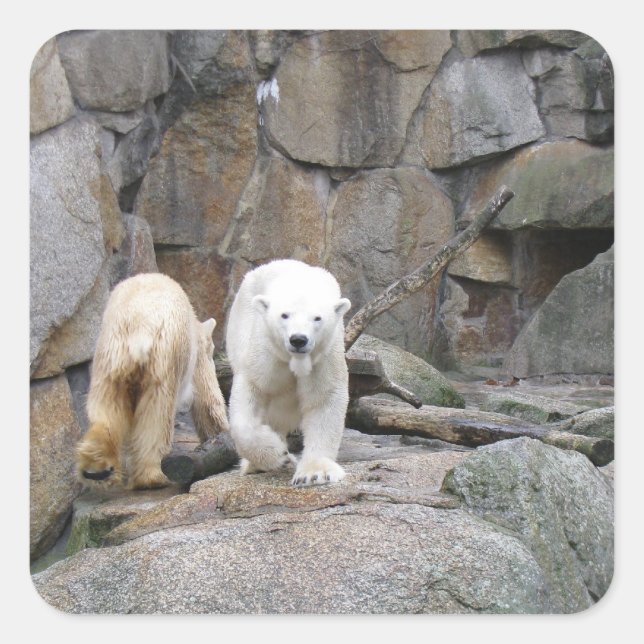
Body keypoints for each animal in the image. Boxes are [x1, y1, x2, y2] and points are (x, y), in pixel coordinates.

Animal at [75, 273, 229, 490]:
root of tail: (139, 327)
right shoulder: (194, 355)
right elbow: (207, 399)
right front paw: (222, 434)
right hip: (163, 358)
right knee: (157, 413)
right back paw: (153, 477)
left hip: (109, 358)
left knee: (107, 408)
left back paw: (96, 468)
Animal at [225, 259, 351, 486]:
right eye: (284, 315)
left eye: (317, 318)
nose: (298, 339)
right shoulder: (266, 351)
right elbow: (252, 389)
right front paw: (278, 455)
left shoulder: (324, 356)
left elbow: (323, 398)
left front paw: (315, 473)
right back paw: (255, 465)